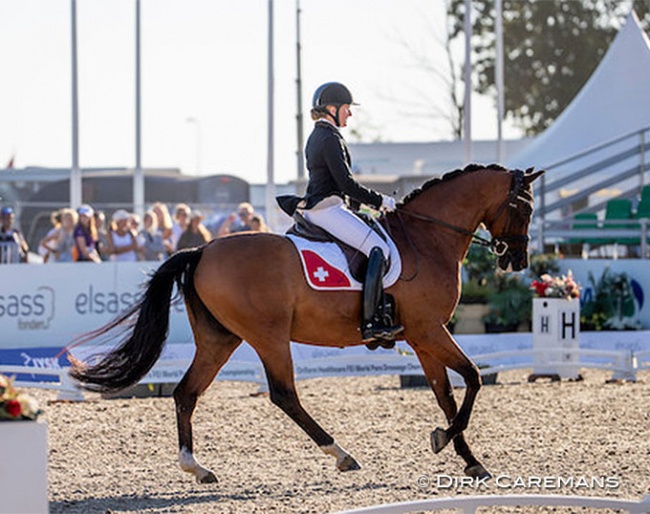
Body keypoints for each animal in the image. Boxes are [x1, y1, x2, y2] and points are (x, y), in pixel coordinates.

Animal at [69, 163, 540, 480]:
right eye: (524, 207)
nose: (517, 260)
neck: (427, 239)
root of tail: (202, 250)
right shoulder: (429, 331)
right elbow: (474, 378)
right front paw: (445, 440)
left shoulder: (423, 338)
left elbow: (446, 395)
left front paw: (469, 459)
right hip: (268, 336)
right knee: (283, 394)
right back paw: (341, 454)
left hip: (220, 339)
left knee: (187, 392)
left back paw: (196, 467)